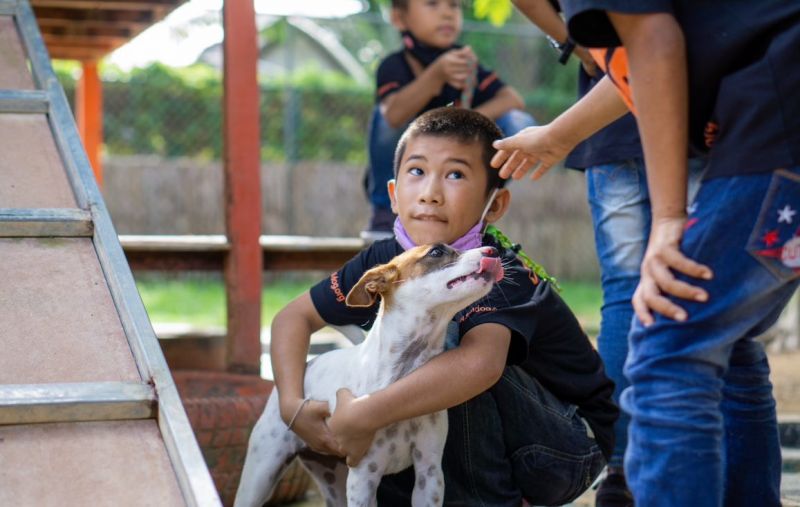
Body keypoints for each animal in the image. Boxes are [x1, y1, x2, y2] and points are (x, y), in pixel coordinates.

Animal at [234, 244, 504, 506]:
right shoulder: (364, 476)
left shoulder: (429, 474)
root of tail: (310, 364)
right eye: (436, 252)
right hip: (260, 475)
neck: (402, 377)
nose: (494, 251)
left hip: (333, 480)